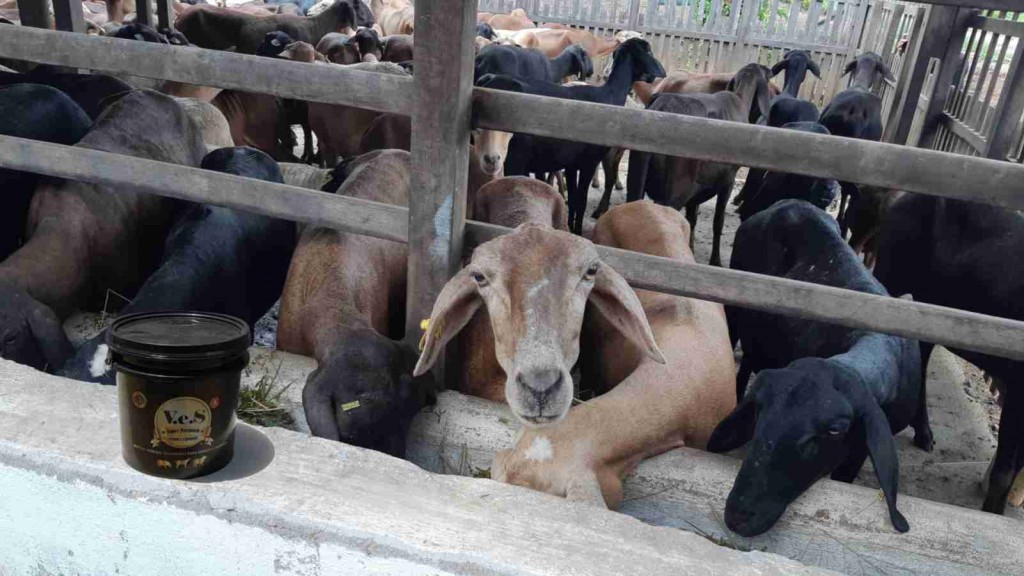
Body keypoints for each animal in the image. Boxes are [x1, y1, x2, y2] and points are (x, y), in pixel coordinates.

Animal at [622, 62, 770, 264]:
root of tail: (662, 107)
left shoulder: (696, 191)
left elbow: (692, 219)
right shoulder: (728, 182)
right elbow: (718, 221)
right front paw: (715, 260)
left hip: (638, 178)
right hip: (676, 191)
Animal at [868, 191, 1024, 510]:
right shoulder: (1017, 387)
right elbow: (1005, 471)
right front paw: (991, 513)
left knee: (924, 349)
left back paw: (924, 432)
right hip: (891, 272)